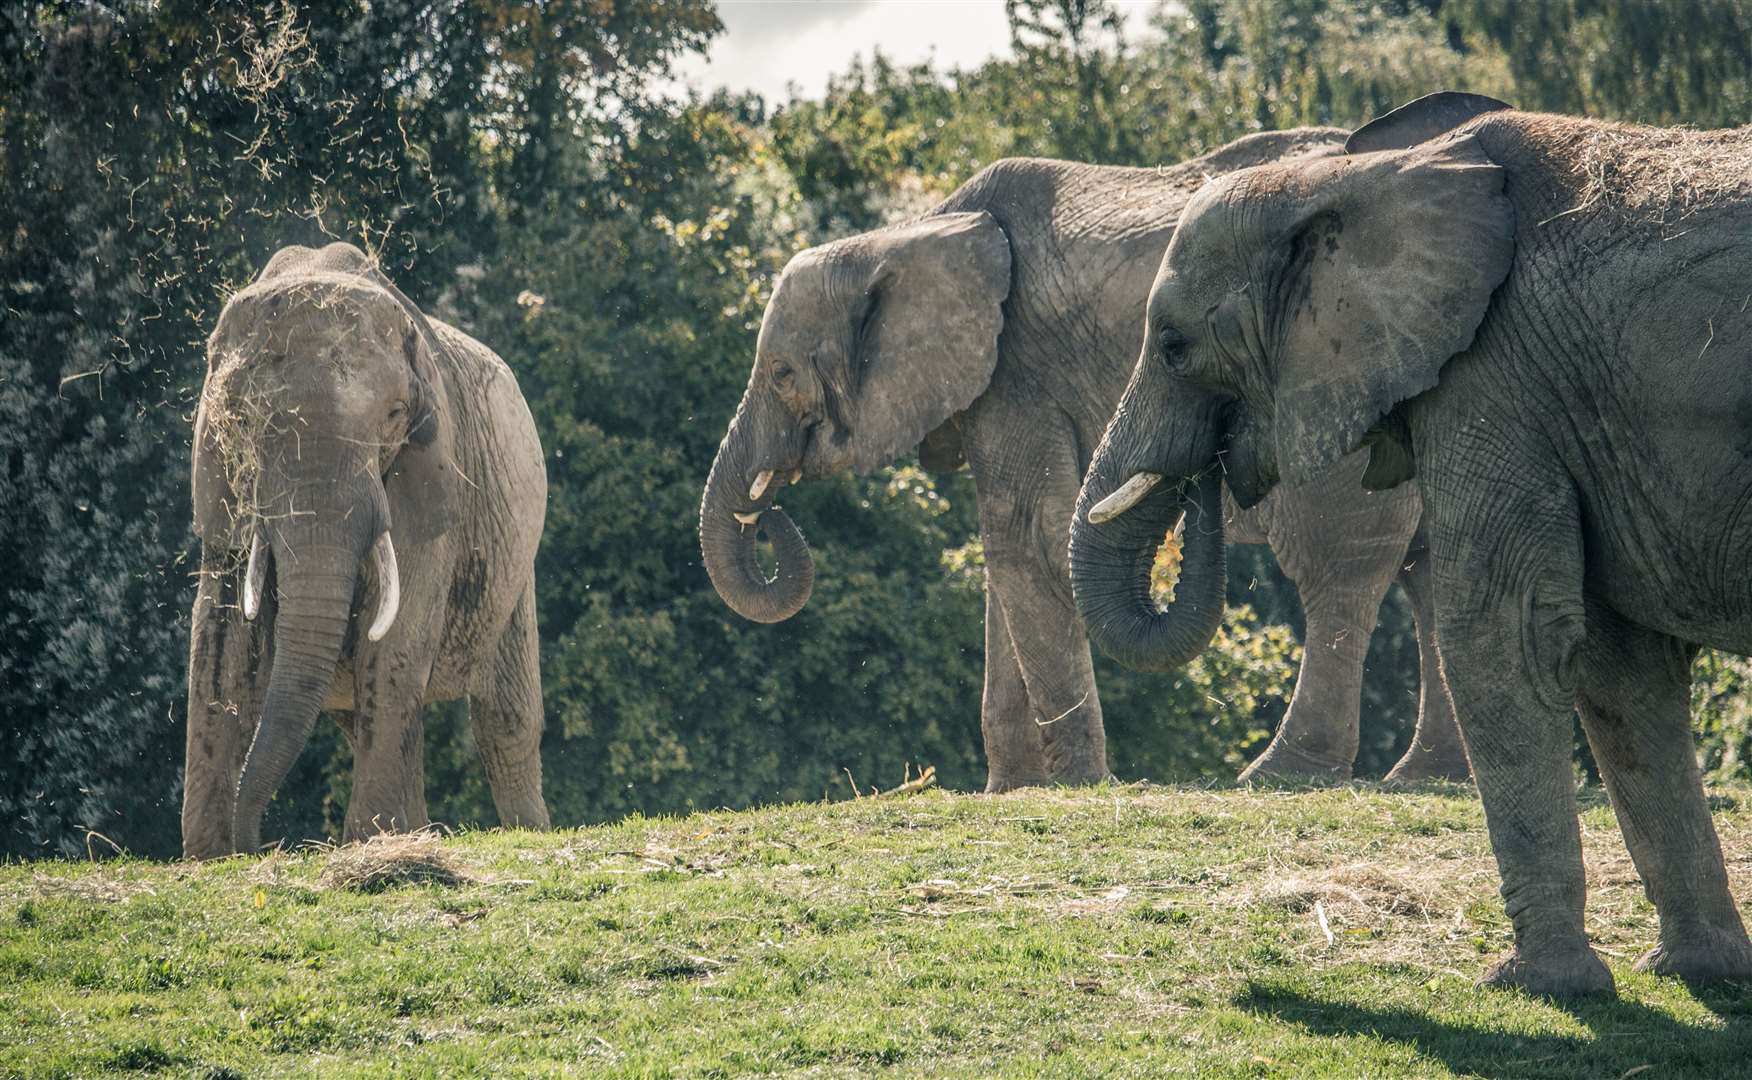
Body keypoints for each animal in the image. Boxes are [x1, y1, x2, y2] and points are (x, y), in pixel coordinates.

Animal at [183, 240, 546, 855]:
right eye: (245, 421)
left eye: (394, 417)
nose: (261, 843)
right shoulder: (223, 484)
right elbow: (220, 635)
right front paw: (209, 857)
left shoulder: (430, 473)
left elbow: (399, 631)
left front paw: (377, 839)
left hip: (516, 565)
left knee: (506, 718)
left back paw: (526, 833)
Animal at [697, 133, 1464, 792]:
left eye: (783, 374)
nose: (769, 515)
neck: (915, 230)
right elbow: (1006, 555)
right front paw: (1012, 791)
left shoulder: (1018, 372)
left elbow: (1027, 538)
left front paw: (1075, 785)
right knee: (1434, 563)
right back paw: (1426, 778)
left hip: (1338, 358)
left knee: (1341, 558)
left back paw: (1281, 776)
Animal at [1058, 92, 1752, 995]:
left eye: (1175, 347)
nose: (1214, 472)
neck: (1350, 178)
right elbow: (1621, 665)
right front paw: (1697, 973)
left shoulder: (1495, 376)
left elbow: (1503, 634)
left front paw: (1535, 984)